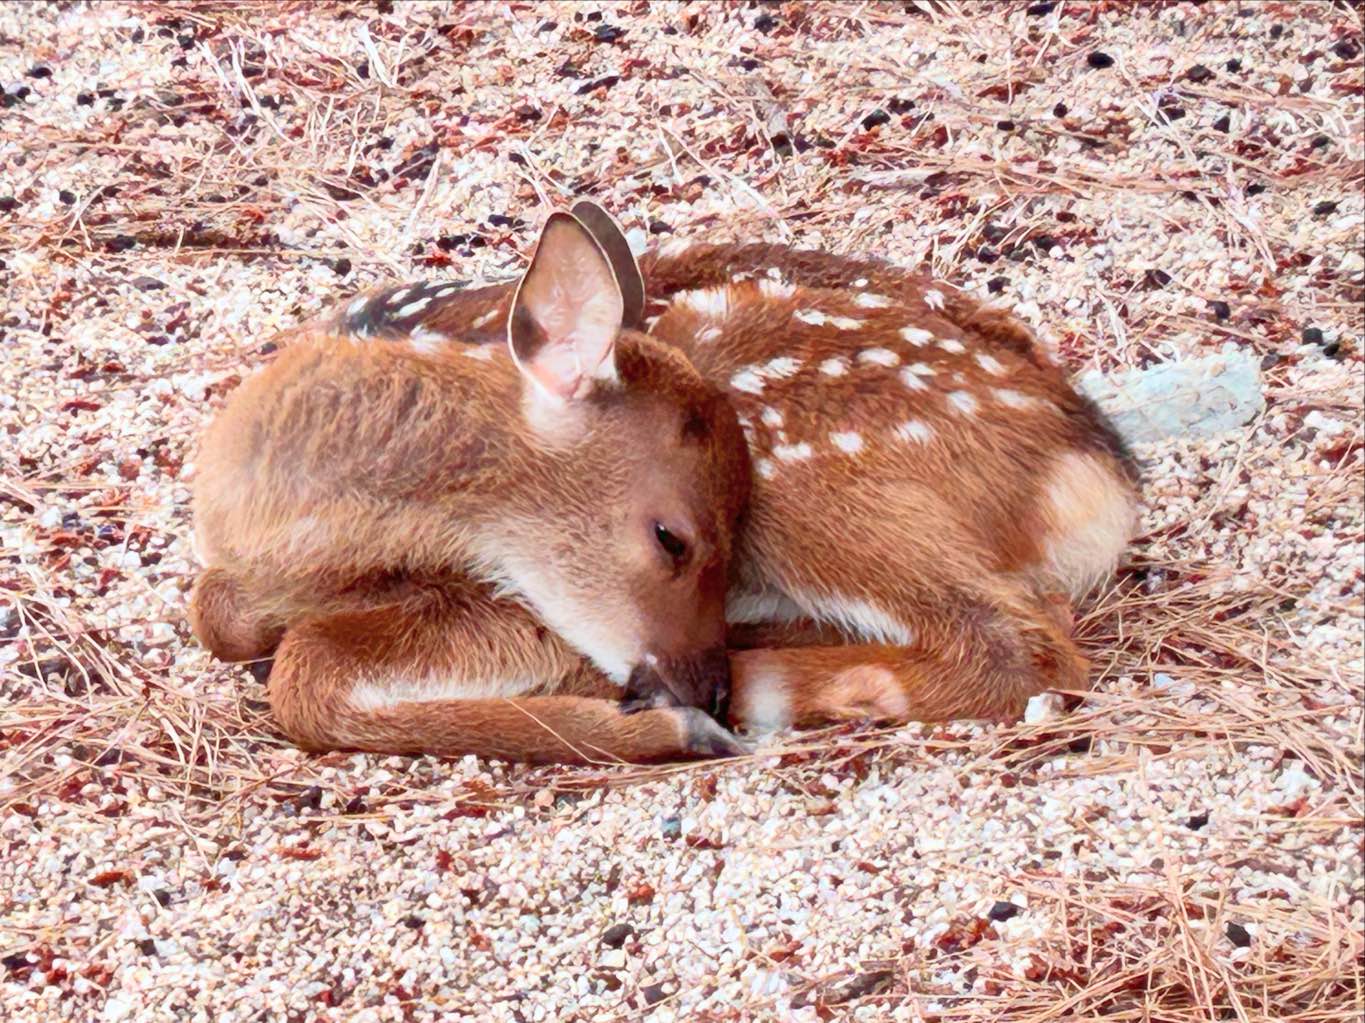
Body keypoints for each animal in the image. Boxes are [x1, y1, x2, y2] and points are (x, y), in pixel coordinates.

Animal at [188, 199, 1138, 764]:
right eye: (670, 538)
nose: (696, 687)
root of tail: (1097, 467)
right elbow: (222, 617)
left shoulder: (517, 604)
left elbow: (301, 671)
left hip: (812, 471)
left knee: (1020, 645)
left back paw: (759, 683)